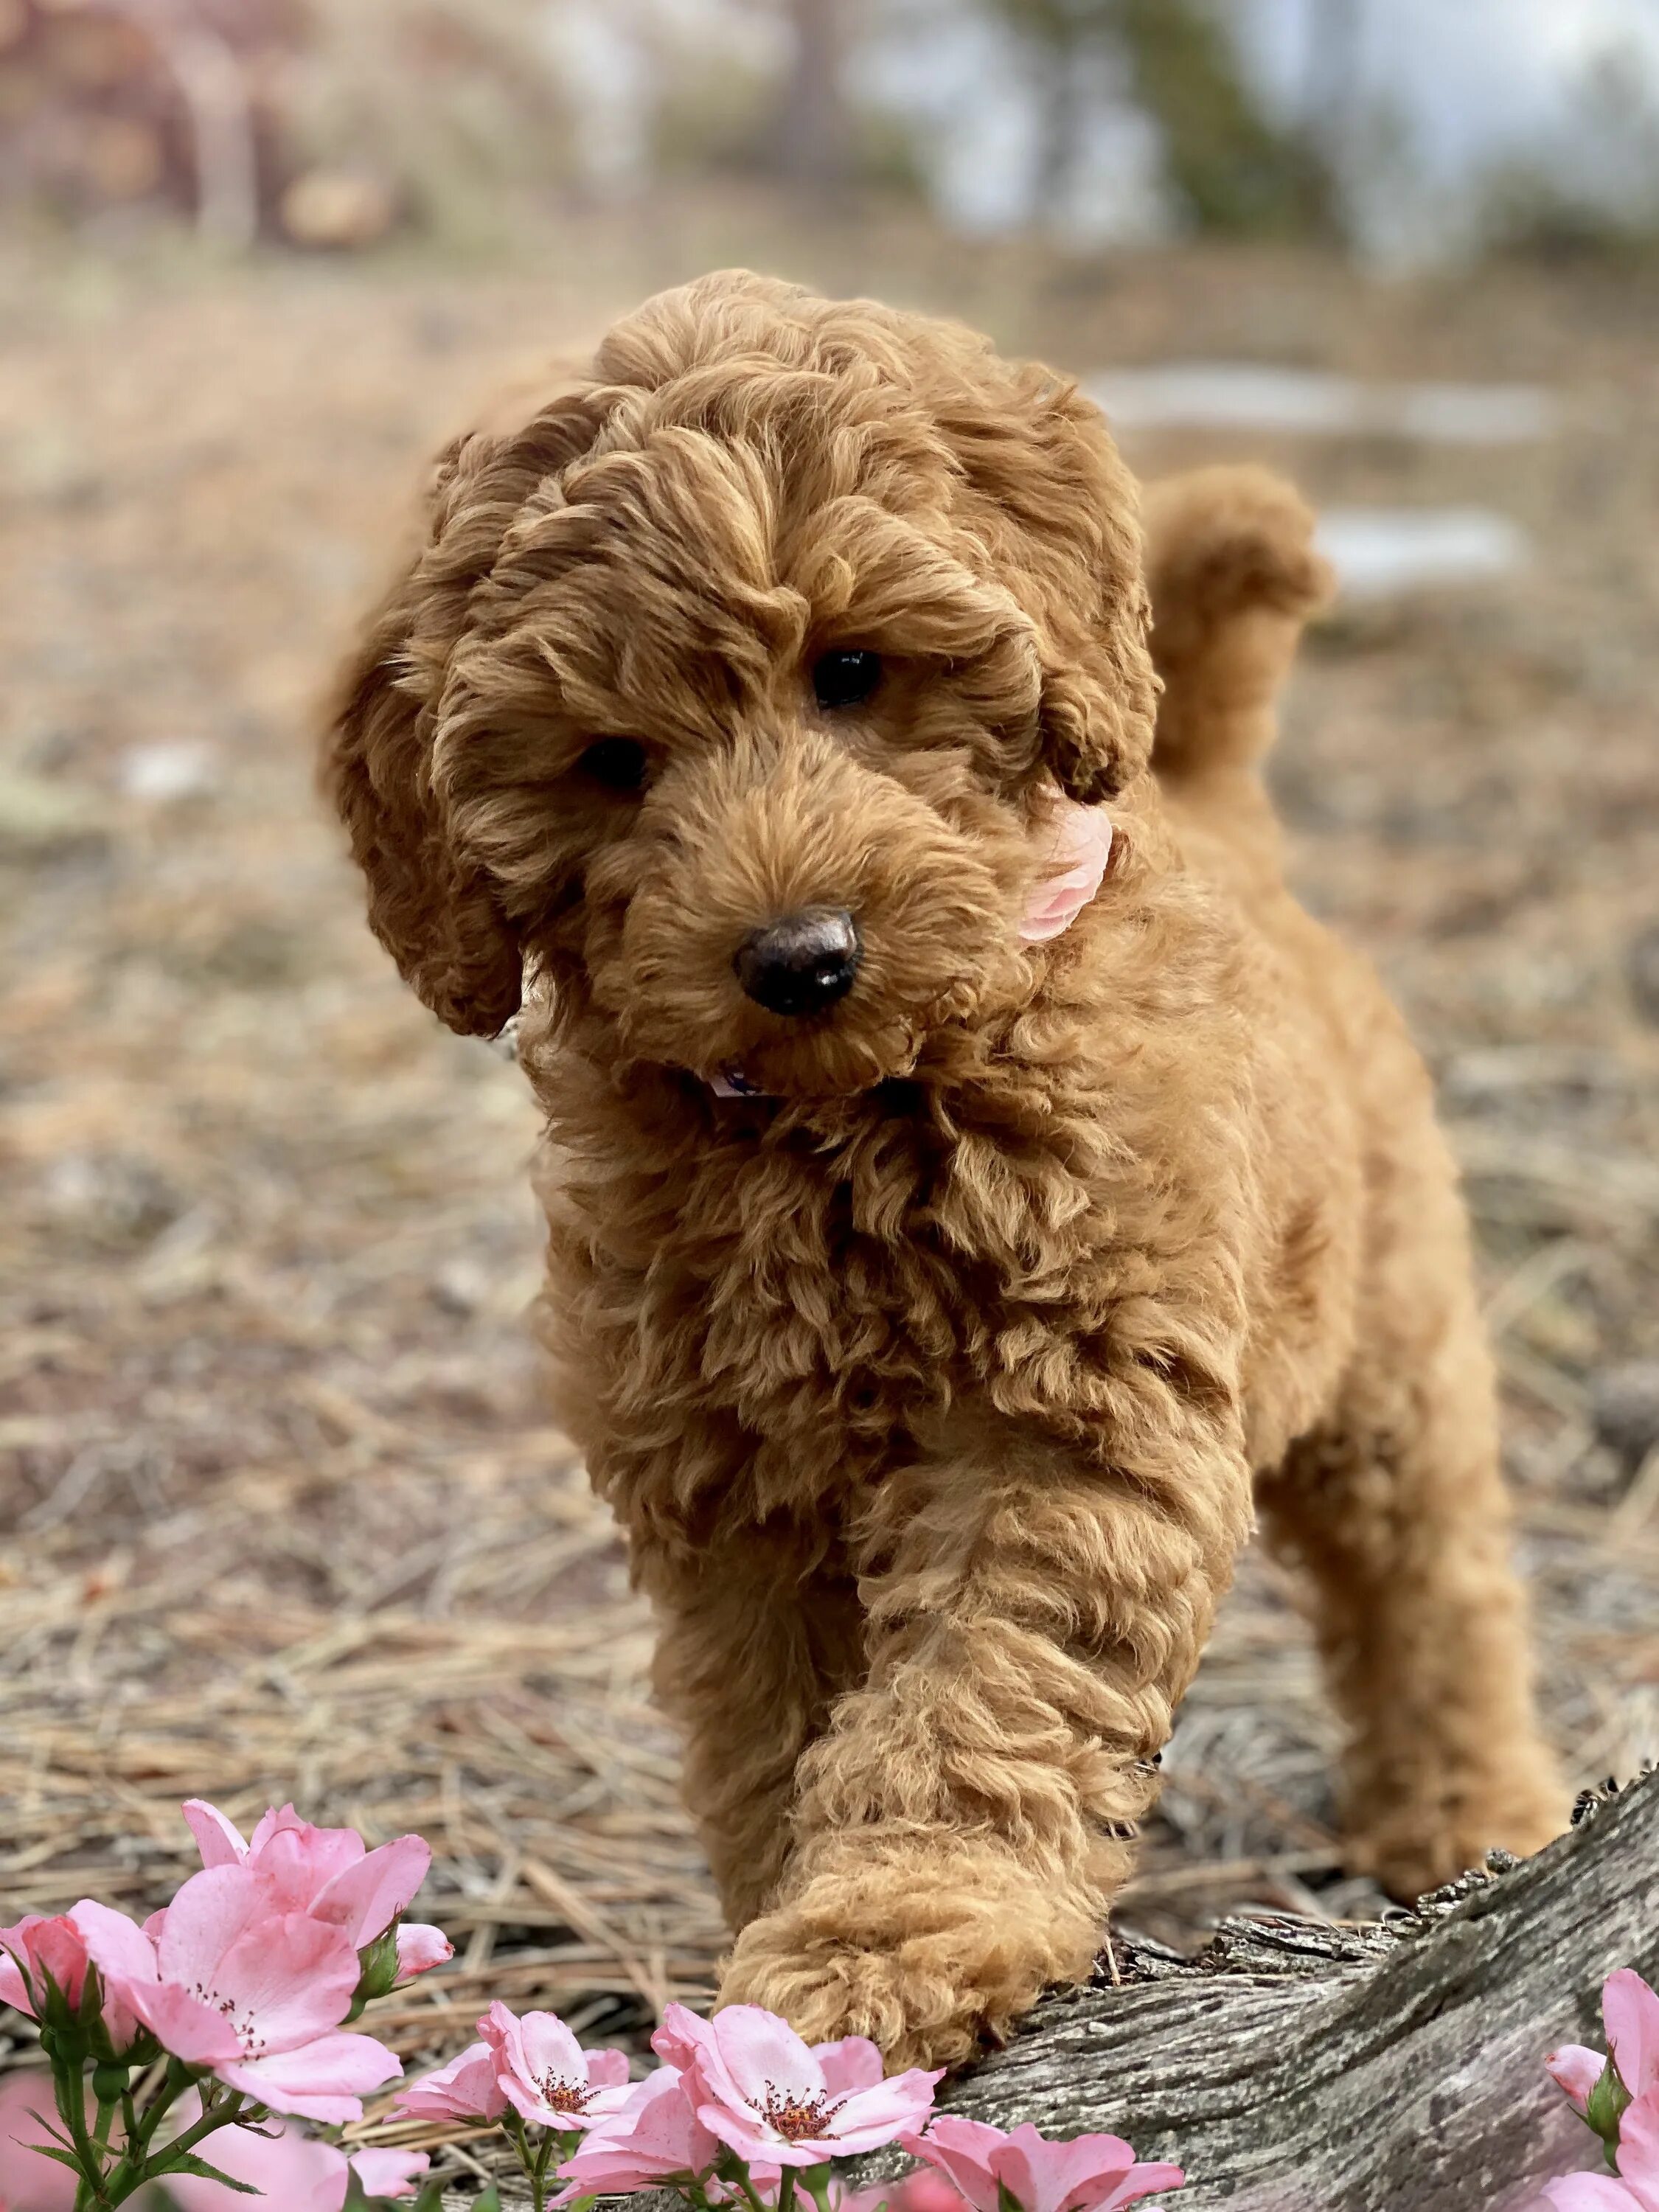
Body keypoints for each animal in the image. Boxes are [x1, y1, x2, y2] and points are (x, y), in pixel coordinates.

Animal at [325, 268, 1575, 2062]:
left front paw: (902, 1927)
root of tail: (1225, 803)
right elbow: (779, 1725)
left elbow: (984, 1685)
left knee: (1435, 1581)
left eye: (851, 671)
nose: (798, 957)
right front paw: (794, 1936)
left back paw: (1473, 1809)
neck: (848, 1111)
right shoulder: (727, 1480)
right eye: (612, 762)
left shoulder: (1063, 1426)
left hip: (1390, 1328)